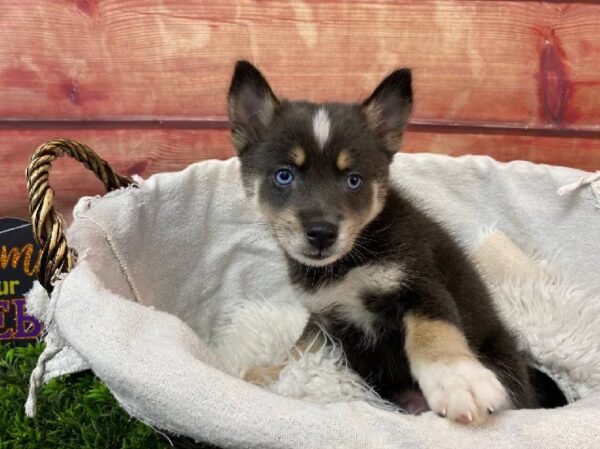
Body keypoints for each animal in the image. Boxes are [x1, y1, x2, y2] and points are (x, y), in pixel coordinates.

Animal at [227, 60, 536, 424]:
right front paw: (271, 374)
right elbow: (300, 349)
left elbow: (433, 331)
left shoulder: (420, 285)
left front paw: (458, 379)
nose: (322, 233)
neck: (348, 263)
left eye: (354, 180)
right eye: (284, 175)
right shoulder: (325, 317)